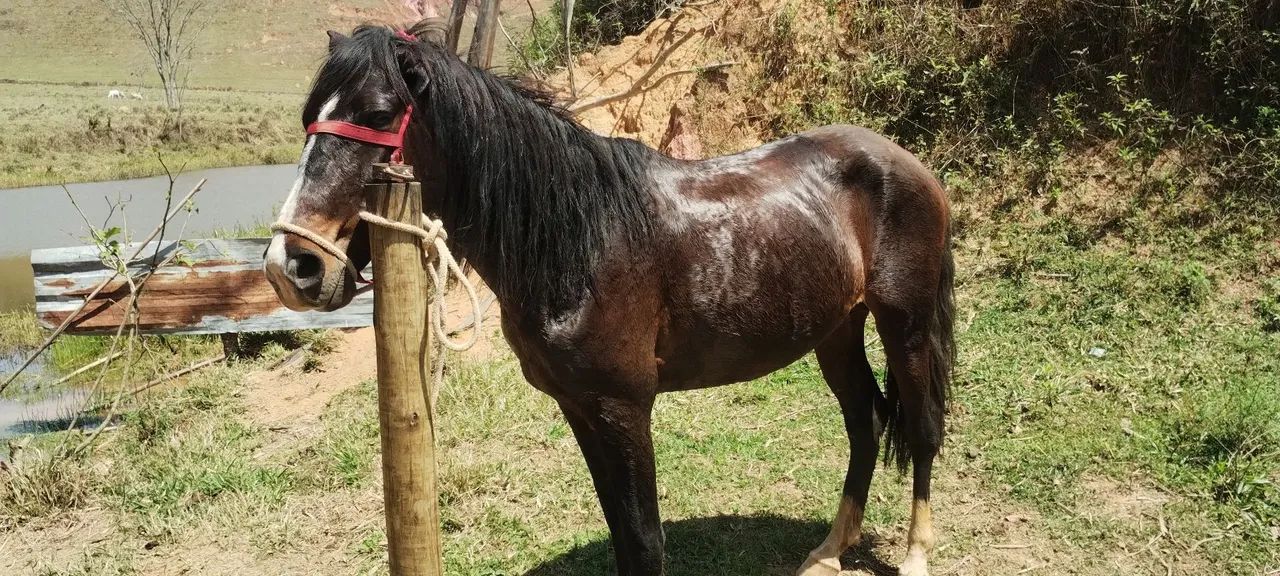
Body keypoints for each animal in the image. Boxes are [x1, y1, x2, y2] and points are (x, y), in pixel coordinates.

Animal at [263, 20, 955, 576]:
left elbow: (645, 541)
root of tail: (905, 162)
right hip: (836, 330)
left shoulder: (624, 407)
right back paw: (830, 551)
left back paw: (917, 555)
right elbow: (623, 535)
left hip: (905, 323)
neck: (579, 240)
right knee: (865, 422)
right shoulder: (580, 407)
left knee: (921, 427)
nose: (291, 267)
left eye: (380, 114)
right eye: (307, 118)